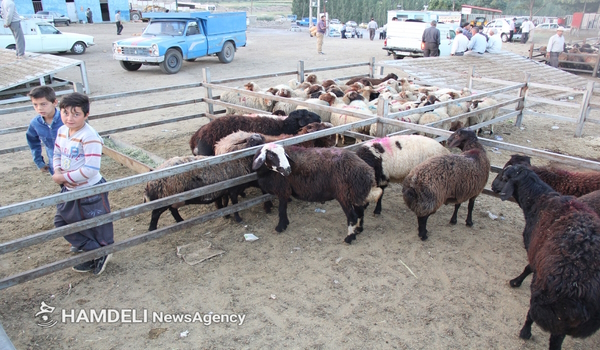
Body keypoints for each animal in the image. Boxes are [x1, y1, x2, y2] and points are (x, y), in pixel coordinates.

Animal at [251, 143, 382, 243]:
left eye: (284, 154)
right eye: (271, 155)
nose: (288, 170)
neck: (268, 172)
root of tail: (366, 172)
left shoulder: (283, 190)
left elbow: (281, 210)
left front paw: (280, 227)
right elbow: (284, 210)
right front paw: (285, 224)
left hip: (343, 195)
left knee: (352, 216)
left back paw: (349, 238)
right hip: (354, 193)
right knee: (360, 212)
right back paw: (358, 230)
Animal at [490, 165, 600, 350]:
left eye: (504, 177)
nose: (492, 185)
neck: (539, 201)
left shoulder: (535, 250)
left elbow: (528, 267)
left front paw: (516, 281)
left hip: (554, 305)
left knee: (549, 330)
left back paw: (525, 331)